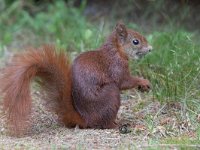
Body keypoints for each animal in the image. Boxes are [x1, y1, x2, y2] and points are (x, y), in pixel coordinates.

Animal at [0, 22, 152, 136]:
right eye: (135, 41)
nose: (150, 49)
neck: (116, 51)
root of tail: (85, 119)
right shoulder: (116, 67)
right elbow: (125, 82)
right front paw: (143, 82)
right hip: (111, 94)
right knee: (104, 123)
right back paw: (118, 124)